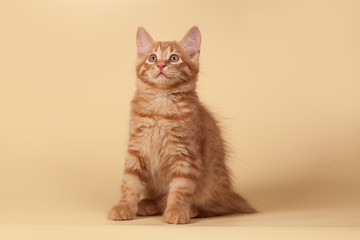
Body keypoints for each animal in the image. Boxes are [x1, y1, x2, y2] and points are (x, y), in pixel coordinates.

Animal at [108, 26, 255, 223]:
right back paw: (148, 204)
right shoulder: (136, 149)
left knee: (215, 208)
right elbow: (130, 182)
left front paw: (176, 211)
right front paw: (124, 206)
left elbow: (180, 187)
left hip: (211, 185)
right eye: (152, 58)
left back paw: (189, 210)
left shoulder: (186, 154)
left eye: (174, 58)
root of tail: (229, 194)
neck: (161, 104)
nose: (161, 65)